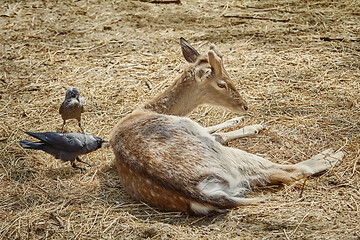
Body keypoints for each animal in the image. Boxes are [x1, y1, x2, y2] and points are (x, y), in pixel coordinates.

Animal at [109, 38, 344, 216]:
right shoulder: (194, 128)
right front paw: (255, 124)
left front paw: (250, 123)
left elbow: (218, 130)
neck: (145, 110)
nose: (245, 106)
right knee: (290, 171)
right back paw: (331, 154)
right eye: (221, 83)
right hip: (227, 158)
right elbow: (219, 134)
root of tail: (199, 191)